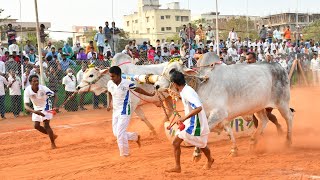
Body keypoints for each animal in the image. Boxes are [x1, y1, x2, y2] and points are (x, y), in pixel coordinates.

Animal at [155, 52, 296, 156]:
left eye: (172, 70)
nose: (156, 85)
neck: (201, 83)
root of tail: (279, 66)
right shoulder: (220, 116)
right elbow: (228, 131)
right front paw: (234, 149)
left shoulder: (218, 113)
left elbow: (205, 132)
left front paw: (196, 152)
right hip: (259, 106)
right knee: (264, 121)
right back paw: (253, 141)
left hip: (282, 102)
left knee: (289, 117)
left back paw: (288, 141)